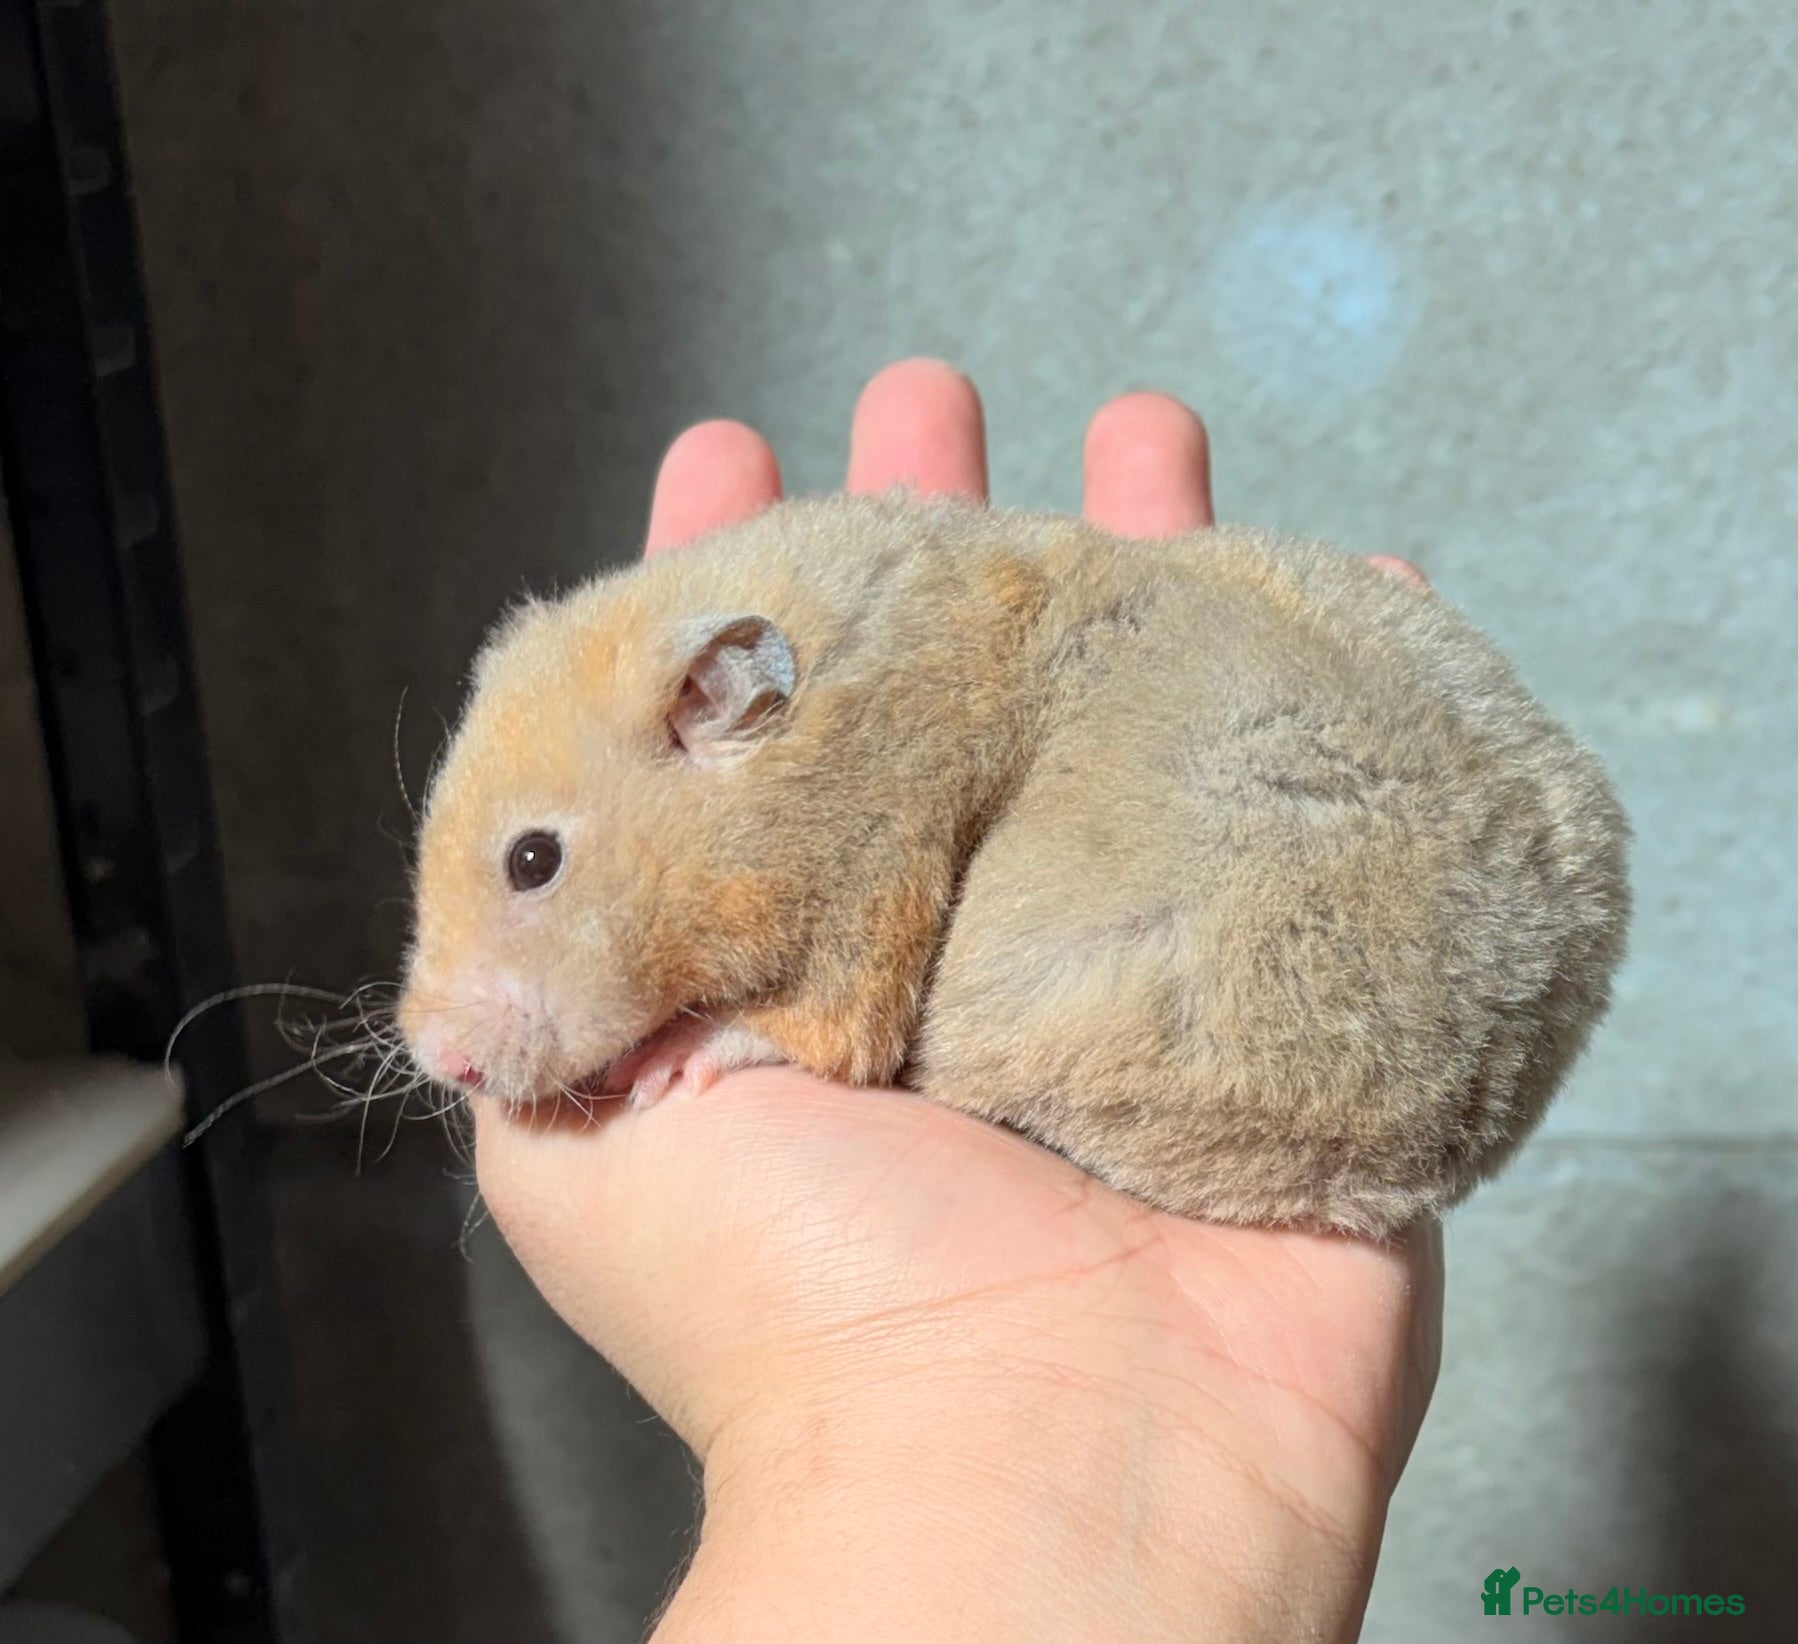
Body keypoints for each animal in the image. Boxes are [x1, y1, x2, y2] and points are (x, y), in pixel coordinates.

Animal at [398, 492, 1629, 1236]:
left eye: (533, 859)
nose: (437, 1060)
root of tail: (1502, 1060)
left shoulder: (877, 858)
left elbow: (827, 1028)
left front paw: (672, 1061)